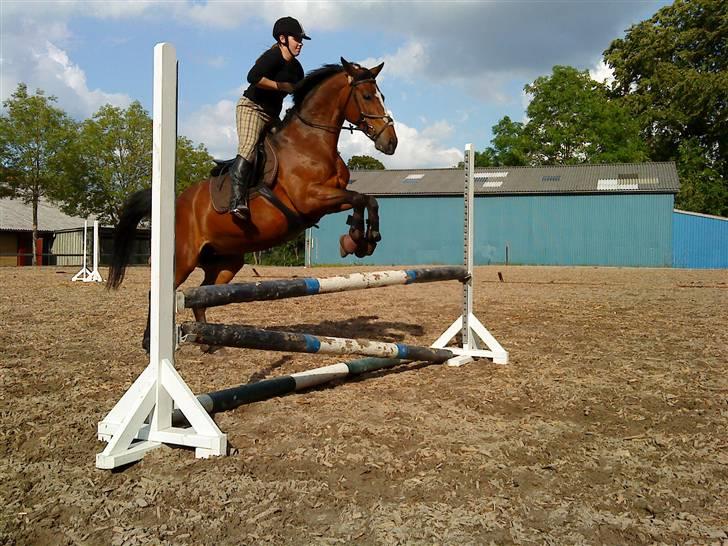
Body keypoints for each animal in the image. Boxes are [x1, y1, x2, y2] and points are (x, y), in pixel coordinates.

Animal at [106, 57, 398, 346]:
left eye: (382, 96)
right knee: (159, 292)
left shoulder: (329, 200)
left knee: (202, 293)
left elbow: (368, 199)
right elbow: (359, 198)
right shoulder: (310, 198)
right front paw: (358, 238)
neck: (310, 141)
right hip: (184, 258)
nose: (391, 142)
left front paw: (364, 240)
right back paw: (149, 341)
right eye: (367, 96)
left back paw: (209, 340)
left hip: (226, 262)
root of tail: (176, 202)